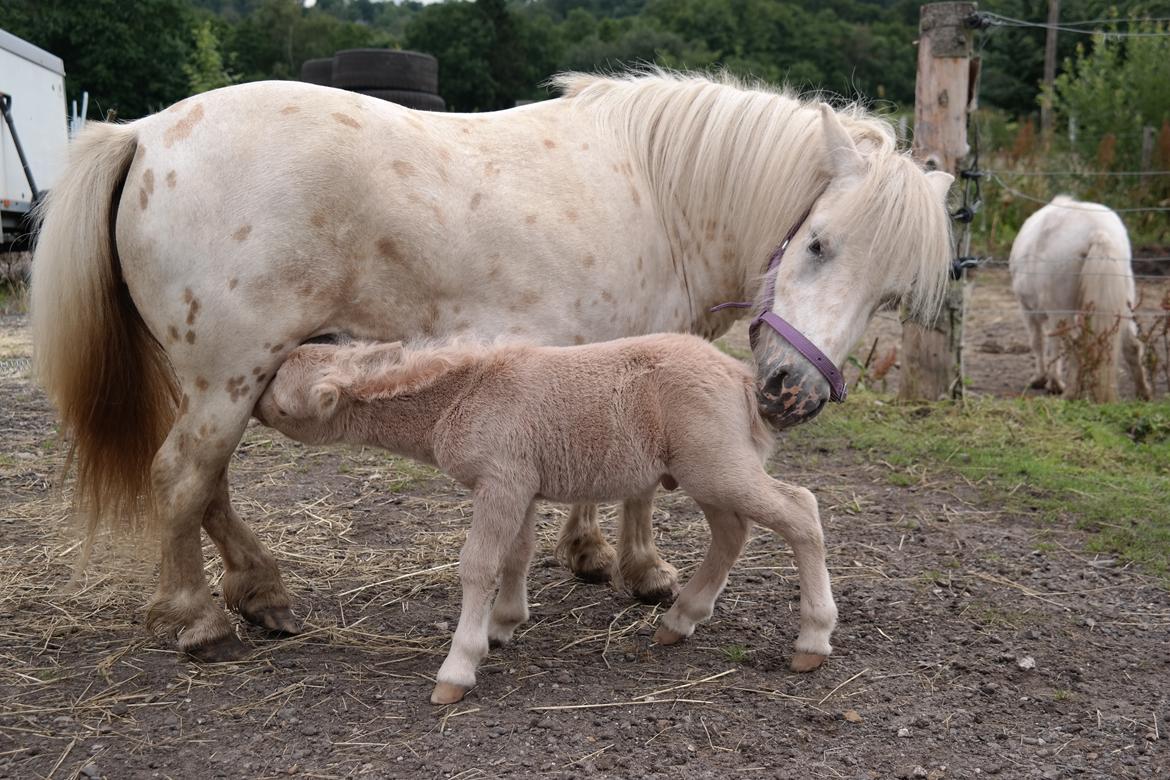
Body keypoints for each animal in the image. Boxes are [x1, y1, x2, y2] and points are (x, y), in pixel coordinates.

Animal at [32, 70, 954, 664]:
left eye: (891, 292)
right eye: (818, 243)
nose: (791, 395)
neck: (660, 192)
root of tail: (144, 133)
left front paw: (589, 556)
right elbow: (637, 488)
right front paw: (643, 572)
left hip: (226, 380)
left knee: (210, 486)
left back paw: (262, 592)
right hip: (228, 376)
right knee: (185, 477)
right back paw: (196, 618)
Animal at [258, 336, 842, 706]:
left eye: (280, 401)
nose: (251, 406)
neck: (459, 397)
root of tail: (741, 378)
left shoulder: (502, 479)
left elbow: (478, 565)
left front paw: (458, 667)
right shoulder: (520, 484)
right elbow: (516, 554)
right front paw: (503, 625)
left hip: (717, 464)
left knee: (800, 511)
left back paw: (812, 640)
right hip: (706, 469)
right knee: (732, 531)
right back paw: (680, 620)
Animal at [1010, 196, 1155, 402]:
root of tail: (1097, 231)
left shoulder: (1029, 310)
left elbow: (1038, 342)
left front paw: (1044, 380)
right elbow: (1053, 344)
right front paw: (1052, 382)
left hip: (1060, 310)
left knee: (1076, 345)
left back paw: (1070, 393)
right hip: (1124, 306)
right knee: (1132, 345)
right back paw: (1143, 393)